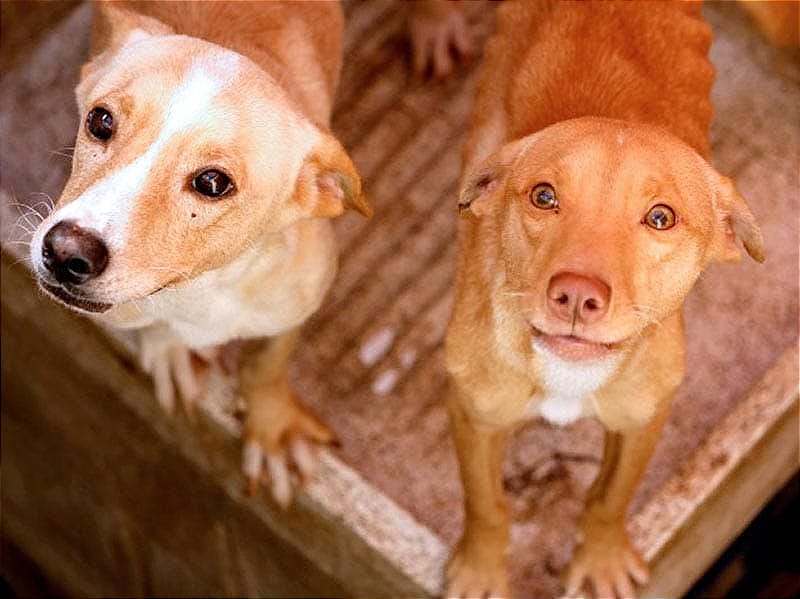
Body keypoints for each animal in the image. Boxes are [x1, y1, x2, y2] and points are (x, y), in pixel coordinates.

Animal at [28, 1, 372, 506]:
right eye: (100, 121)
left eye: (212, 182)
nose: (65, 252)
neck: (205, 287)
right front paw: (170, 348)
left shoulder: (304, 291)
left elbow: (266, 361)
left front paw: (272, 425)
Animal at [444, 2, 764, 596]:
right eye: (544, 196)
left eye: (660, 217)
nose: (576, 296)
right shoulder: (474, 414)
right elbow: (486, 505)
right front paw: (481, 568)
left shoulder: (643, 418)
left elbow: (611, 497)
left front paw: (602, 559)